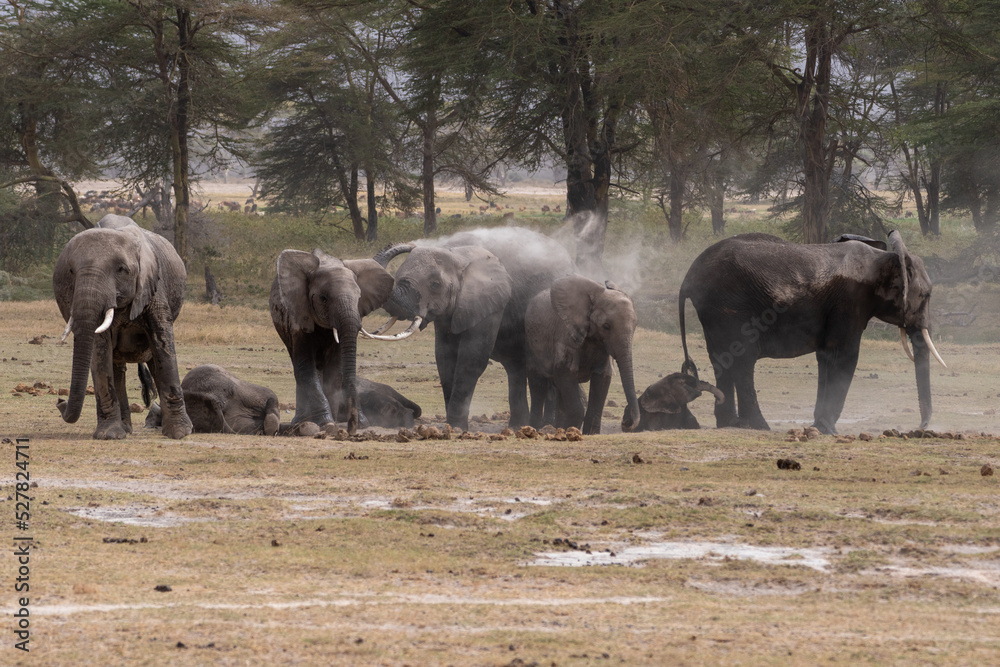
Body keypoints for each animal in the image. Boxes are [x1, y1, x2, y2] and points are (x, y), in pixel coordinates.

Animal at [52, 214, 193, 440]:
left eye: (121, 270)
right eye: (71, 271)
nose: (60, 401)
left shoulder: (153, 288)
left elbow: (163, 346)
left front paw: (180, 434)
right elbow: (100, 352)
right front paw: (108, 435)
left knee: (154, 363)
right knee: (116, 368)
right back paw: (124, 429)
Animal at [269, 248, 394, 434]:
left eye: (359, 298)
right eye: (323, 298)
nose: (352, 428)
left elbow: (335, 370)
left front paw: (334, 423)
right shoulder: (298, 314)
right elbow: (306, 368)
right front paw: (327, 424)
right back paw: (301, 421)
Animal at [370, 227, 576, 432]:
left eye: (435, 285)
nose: (412, 244)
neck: (457, 254)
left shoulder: (490, 301)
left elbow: (472, 358)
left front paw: (456, 428)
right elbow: (444, 358)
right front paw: (451, 426)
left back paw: (546, 427)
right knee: (514, 367)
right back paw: (519, 426)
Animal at [524, 276, 640, 434]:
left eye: (635, 326)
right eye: (606, 326)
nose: (626, 421)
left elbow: (603, 376)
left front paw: (589, 434)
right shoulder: (566, 334)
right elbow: (566, 372)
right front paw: (571, 430)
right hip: (531, 345)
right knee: (538, 385)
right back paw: (534, 429)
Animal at [678, 231, 947, 434]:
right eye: (926, 296)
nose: (920, 428)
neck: (884, 257)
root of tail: (689, 276)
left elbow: (826, 356)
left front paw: (818, 427)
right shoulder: (849, 302)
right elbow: (845, 355)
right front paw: (829, 430)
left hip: (714, 311)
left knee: (722, 360)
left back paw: (730, 424)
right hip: (731, 307)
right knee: (743, 362)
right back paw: (758, 427)